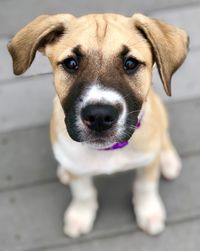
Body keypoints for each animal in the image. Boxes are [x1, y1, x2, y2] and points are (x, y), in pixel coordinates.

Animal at [8, 13, 189, 237]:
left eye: (130, 63)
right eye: (71, 63)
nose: (100, 116)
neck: (108, 152)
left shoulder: (147, 162)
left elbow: (145, 186)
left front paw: (149, 212)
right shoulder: (76, 166)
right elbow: (82, 192)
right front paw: (80, 214)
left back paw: (168, 159)